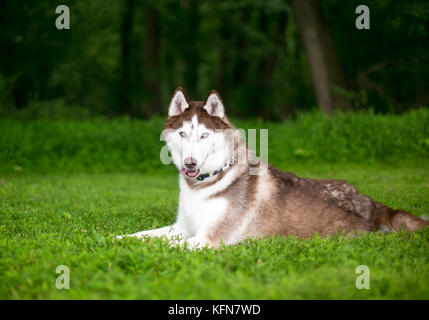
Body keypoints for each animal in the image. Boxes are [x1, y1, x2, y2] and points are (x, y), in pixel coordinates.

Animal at [115, 88, 426, 250]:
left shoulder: (208, 238)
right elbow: (142, 236)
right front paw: (114, 238)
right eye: (182, 134)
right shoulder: (181, 227)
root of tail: (376, 206)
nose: (190, 163)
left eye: (204, 135)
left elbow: (160, 245)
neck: (206, 183)